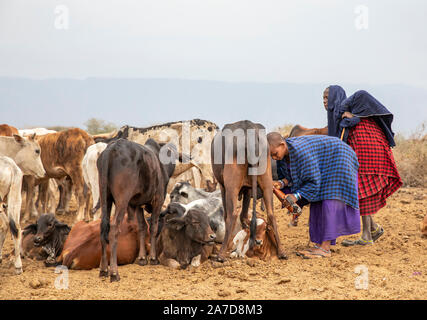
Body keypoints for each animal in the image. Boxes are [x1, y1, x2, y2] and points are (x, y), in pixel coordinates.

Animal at [98, 139, 179, 282]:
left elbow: (142, 227)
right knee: (113, 229)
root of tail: (111, 149)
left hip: (105, 198)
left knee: (103, 228)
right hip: (122, 200)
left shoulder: (137, 205)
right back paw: (114, 273)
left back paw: (103, 269)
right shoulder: (158, 200)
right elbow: (153, 227)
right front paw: (153, 258)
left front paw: (142, 258)